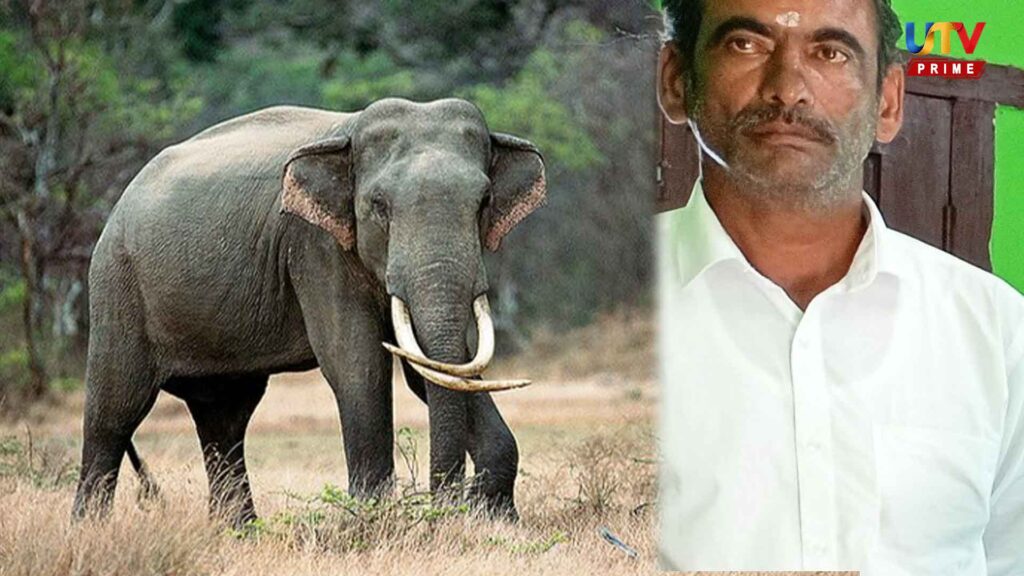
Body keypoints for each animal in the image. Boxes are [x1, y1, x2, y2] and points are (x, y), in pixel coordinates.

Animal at [71, 98, 546, 526]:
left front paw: (496, 520)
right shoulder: (314, 246)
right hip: (117, 285)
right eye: (379, 206)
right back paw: (89, 531)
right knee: (114, 413)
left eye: (484, 201)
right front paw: (371, 524)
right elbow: (357, 363)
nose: (443, 510)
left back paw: (240, 534)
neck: (348, 133)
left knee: (224, 418)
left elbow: (435, 366)